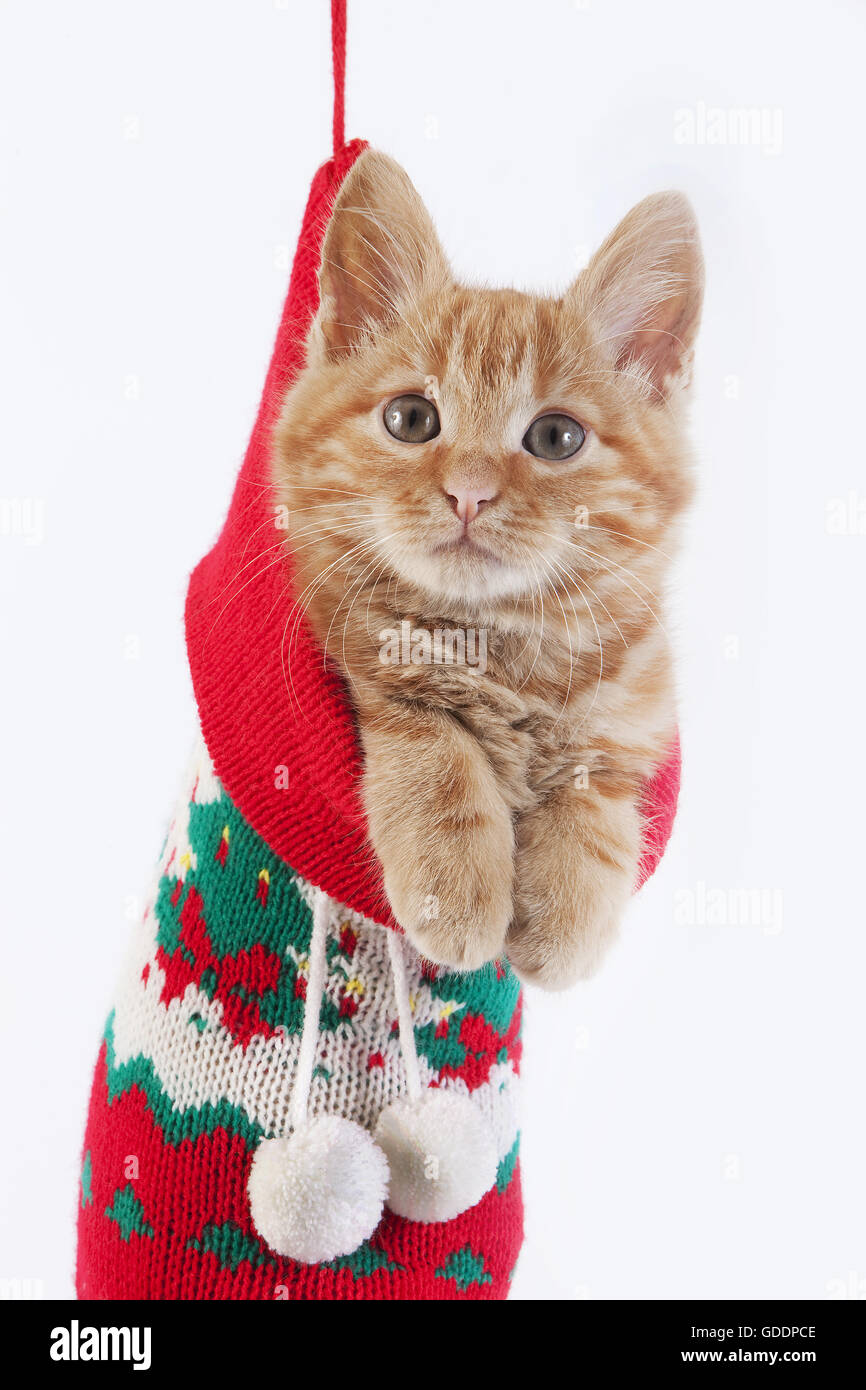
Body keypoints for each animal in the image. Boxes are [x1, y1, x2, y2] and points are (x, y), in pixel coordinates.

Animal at [272, 149, 706, 989]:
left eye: (557, 437)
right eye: (412, 418)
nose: (468, 493)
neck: (506, 647)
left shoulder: (639, 704)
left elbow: (596, 784)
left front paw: (568, 910)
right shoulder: (358, 646)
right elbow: (434, 741)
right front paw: (457, 886)